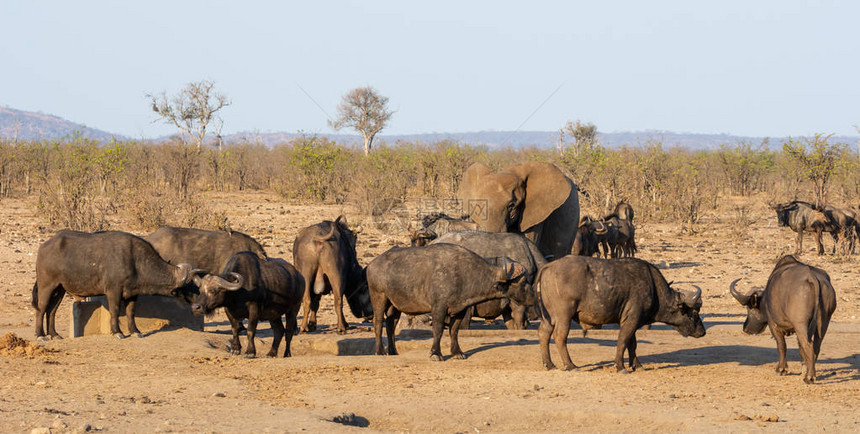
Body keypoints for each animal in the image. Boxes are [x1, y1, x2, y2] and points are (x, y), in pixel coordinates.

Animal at [31, 229, 197, 340]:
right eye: (189, 285)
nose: (197, 305)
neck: (135, 260)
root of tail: (44, 247)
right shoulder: (113, 290)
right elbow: (115, 310)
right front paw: (117, 332)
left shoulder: (133, 293)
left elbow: (131, 312)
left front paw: (135, 331)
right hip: (46, 286)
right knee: (41, 308)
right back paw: (40, 335)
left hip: (60, 289)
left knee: (52, 311)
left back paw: (54, 334)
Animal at [364, 244, 528, 360]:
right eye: (523, 282)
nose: (532, 297)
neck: (464, 273)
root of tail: (372, 264)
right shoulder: (439, 308)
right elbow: (438, 329)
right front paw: (436, 353)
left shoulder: (461, 309)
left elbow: (454, 331)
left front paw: (457, 352)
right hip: (379, 297)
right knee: (378, 322)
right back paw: (380, 351)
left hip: (395, 305)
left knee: (391, 325)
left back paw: (393, 351)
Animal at [536, 256, 704, 372]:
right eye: (695, 312)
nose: (702, 332)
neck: (653, 289)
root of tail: (549, 266)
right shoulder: (631, 320)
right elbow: (622, 341)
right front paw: (620, 366)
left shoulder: (632, 322)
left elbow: (632, 344)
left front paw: (637, 365)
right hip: (564, 315)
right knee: (560, 336)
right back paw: (570, 365)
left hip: (549, 317)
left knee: (544, 333)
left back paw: (549, 364)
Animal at [728, 254, 836, 384]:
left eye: (749, 309)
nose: (745, 328)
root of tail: (812, 277)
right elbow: (800, 349)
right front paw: (803, 368)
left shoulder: (774, 325)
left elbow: (781, 345)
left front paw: (781, 369)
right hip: (824, 322)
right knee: (816, 345)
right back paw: (810, 373)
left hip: (801, 324)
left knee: (808, 345)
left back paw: (809, 377)